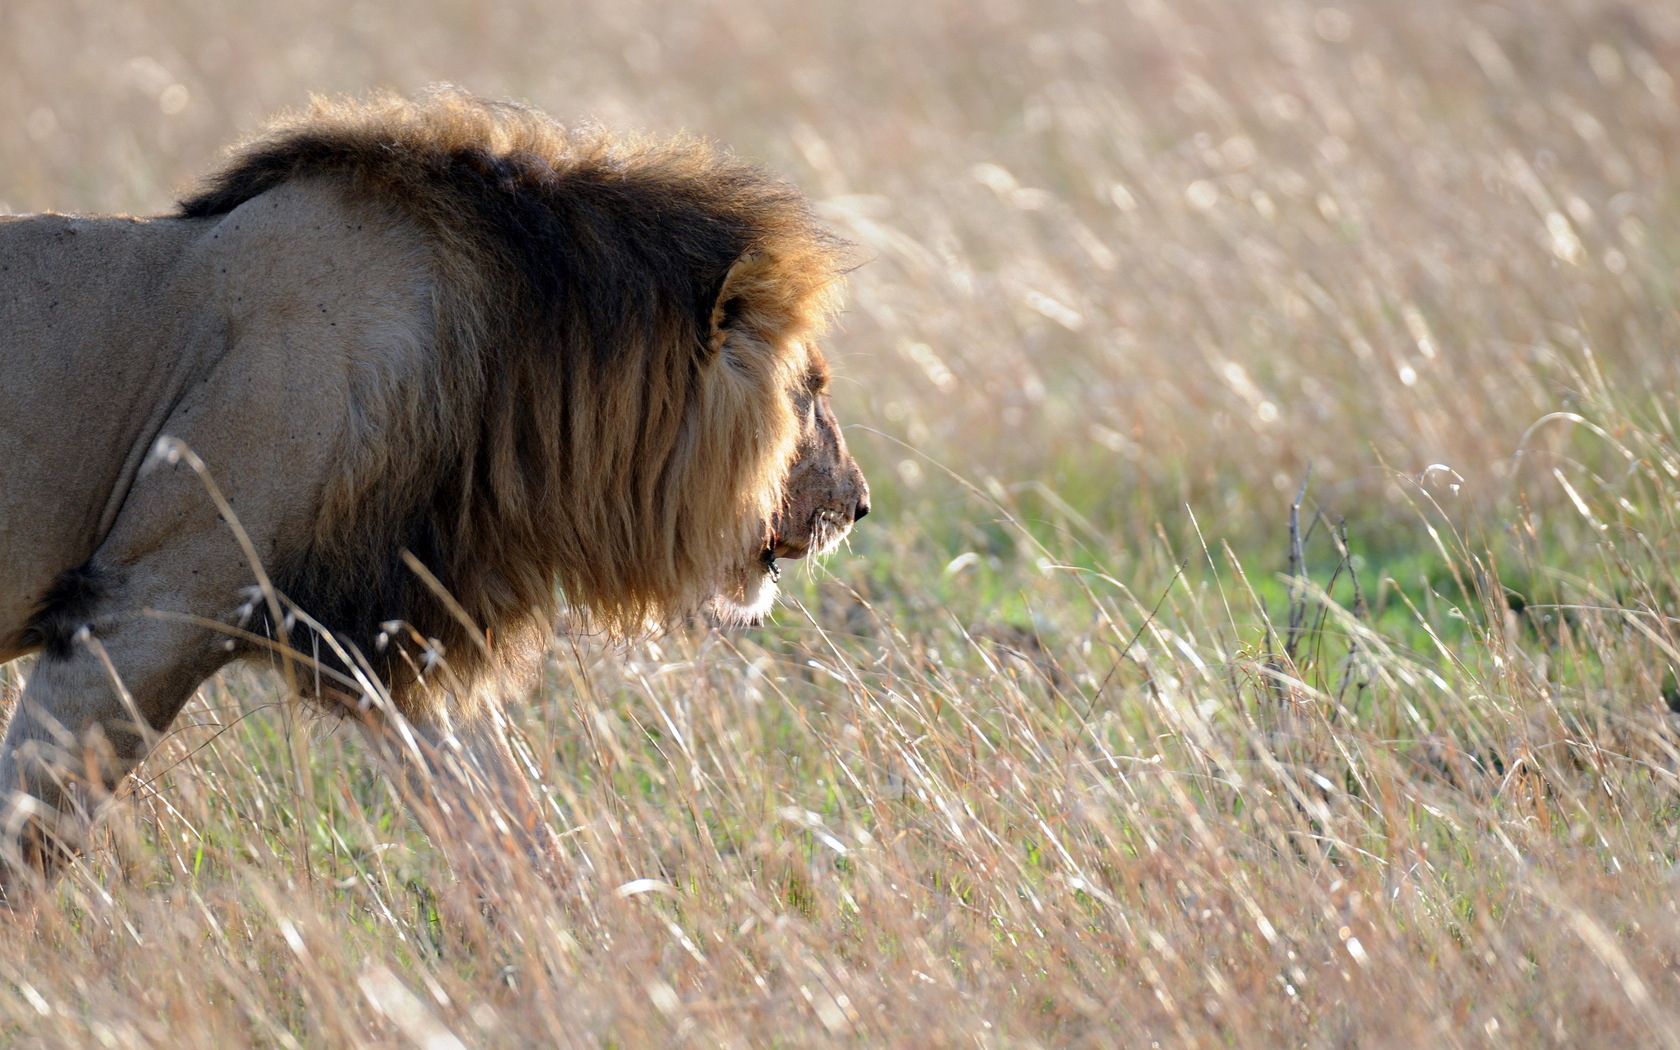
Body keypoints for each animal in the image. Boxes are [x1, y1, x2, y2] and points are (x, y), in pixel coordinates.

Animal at [0, 91, 866, 893]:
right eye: (810, 391)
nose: (857, 504)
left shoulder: (381, 634)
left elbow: (503, 822)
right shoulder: (138, 608)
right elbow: (30, 832)